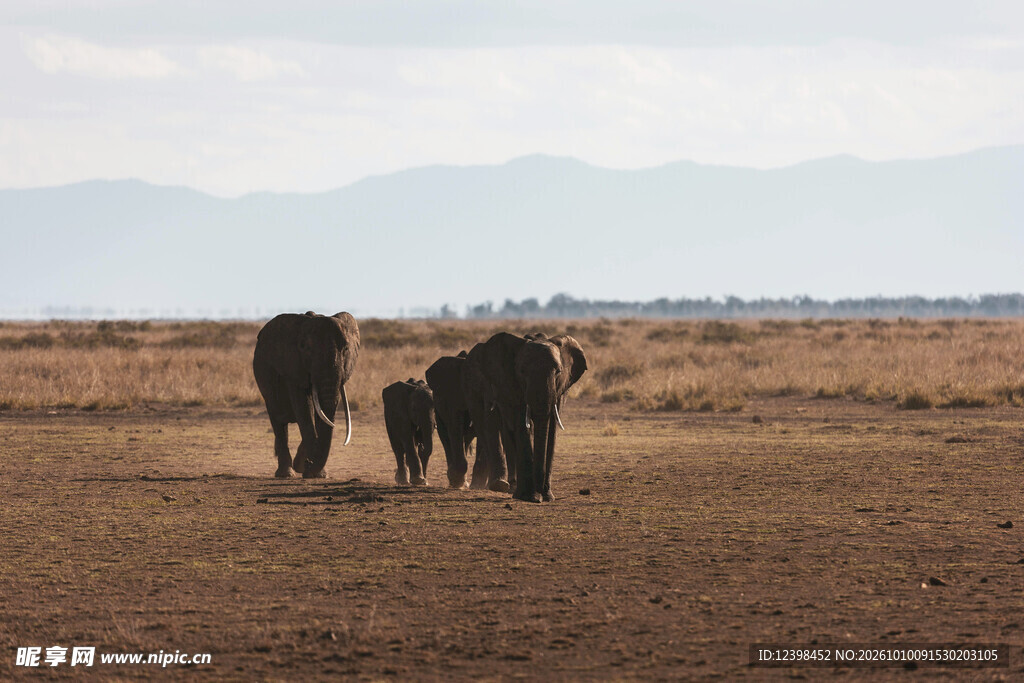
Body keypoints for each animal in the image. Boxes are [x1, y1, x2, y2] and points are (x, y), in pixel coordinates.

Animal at [252, 311, 359, 478]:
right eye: (305, 348)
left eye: (346, 349)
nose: (309, 465)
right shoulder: (293, 368)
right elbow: (304, 408)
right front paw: (309, 469)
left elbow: (318, 413)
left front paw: (314, 471)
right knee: (278, 422)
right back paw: (286, 473)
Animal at [471, 332, 588, 502]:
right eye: (522, 371)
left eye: (558, 371)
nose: (541, 493)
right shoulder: (513, 386)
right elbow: (521, 425)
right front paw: (528, 497)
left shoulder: (559, 391)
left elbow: (551, 428)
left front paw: (548, 497)